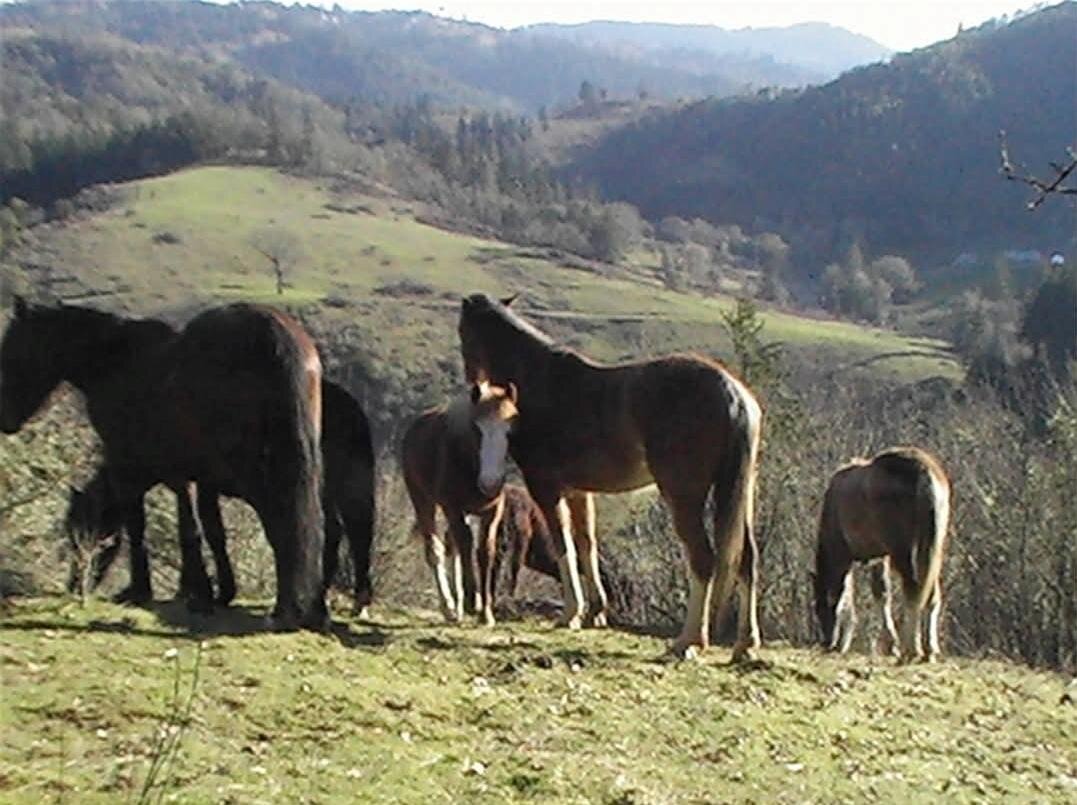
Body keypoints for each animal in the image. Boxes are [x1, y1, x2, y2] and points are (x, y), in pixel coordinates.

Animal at [0, 297, 326, 629]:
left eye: (10, 352)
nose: (76, 584)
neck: (115, 362)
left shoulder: (127, 468)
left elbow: (141, 526)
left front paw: (141, 590)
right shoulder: (198, 478)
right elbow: (206, 530)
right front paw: (211, 592)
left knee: (282, 523)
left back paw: (287, 609)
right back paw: (311, 610)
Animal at [65, 378, 376, 614]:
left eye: (89, 531)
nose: (75, 585)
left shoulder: (195, 484)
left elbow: (205, 530)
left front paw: (204, 591)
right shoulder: (202, 485)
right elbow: (204, 529)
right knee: (339, 531)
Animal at [458, 293, 763, 660]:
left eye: (463, 333)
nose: (474, 383)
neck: (541, 382)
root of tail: (733, 394)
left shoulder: (546, 488)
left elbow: (563, 544)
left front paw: (571, 614)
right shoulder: (579, 492)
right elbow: (586, 543)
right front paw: (595, 611)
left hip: (685, 496)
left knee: (703, 559)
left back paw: (688, 640)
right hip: (738, 493)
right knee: (746, 558)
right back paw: (745, 644)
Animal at [813, 446, 951, 663]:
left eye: (819, 607)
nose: (827, 643)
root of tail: (923, 470)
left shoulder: (851, 556)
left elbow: (866, 592)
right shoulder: (879, 557)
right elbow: (882, 593)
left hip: (902, 551)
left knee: (912, 589)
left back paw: (911, 649)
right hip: (934, 548)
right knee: (931, 593)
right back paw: (930, 650)